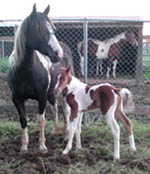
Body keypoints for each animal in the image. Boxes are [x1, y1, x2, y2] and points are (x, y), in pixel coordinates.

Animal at [7, 3, 63, 154]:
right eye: (38, 29)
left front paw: (42, 146)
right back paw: (55, 130)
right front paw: (24, 146)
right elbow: (23, 120)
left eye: (54, 29)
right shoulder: (16, 99)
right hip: (51, 93)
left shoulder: (41, 97)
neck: (25, 72)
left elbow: (41, 120)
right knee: (55, 107)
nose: (58, 54)